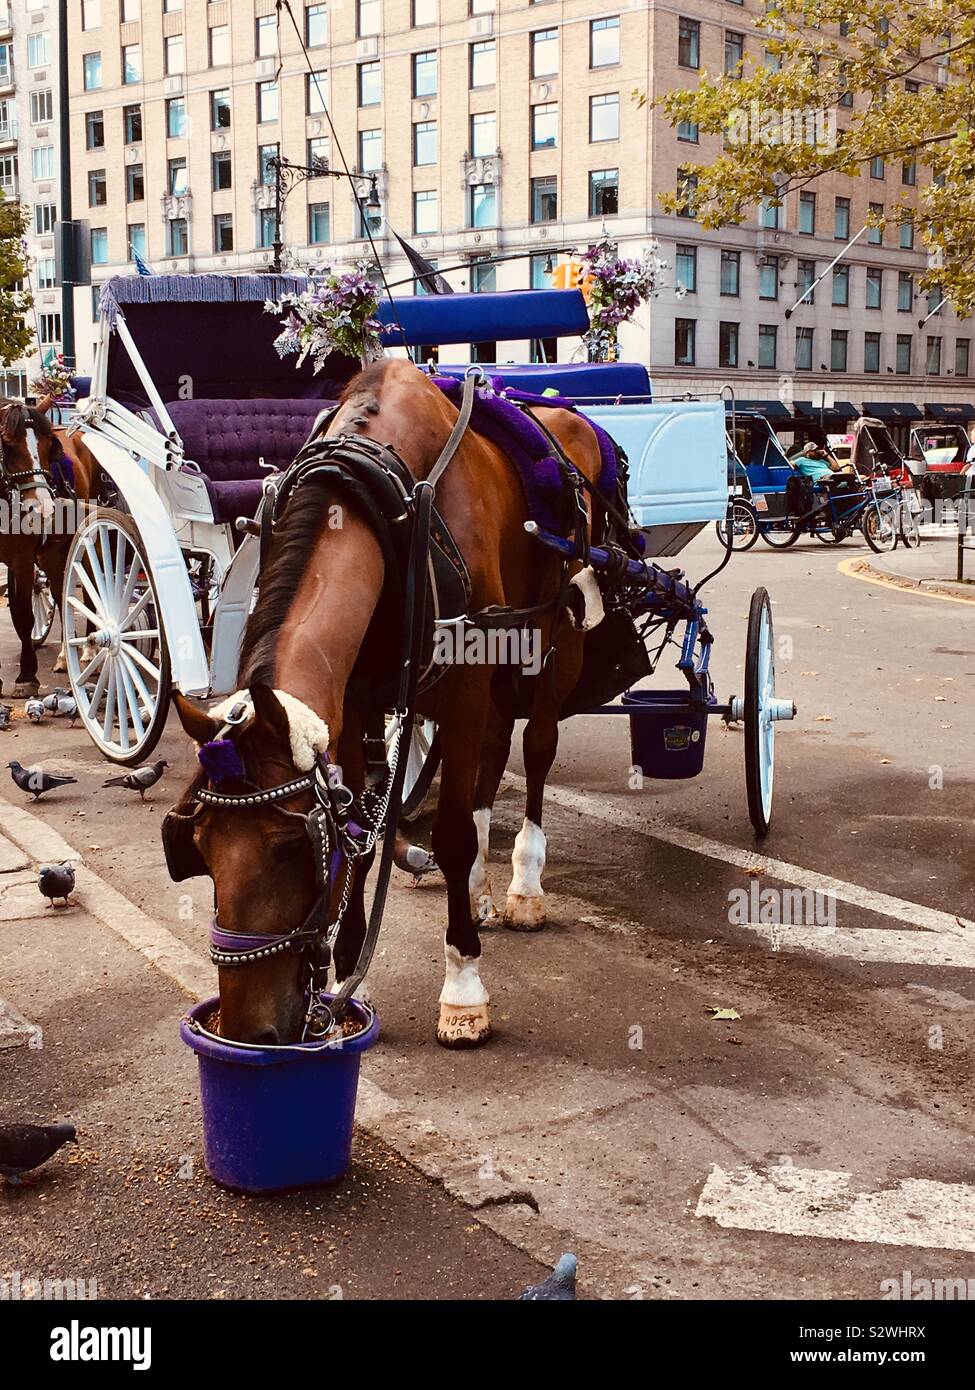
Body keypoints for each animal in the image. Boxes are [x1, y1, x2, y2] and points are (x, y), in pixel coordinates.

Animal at [171, 364, 603, 1045]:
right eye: (201, 844)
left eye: (289, 847)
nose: (246, 1029)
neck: (380, 496)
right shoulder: (352, 704)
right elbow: (361, 835)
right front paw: (350, 974)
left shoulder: (464, 687)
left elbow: (451, 834)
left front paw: (462, 986)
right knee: (496, 744)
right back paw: (477, 890)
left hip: (554, 637)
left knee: (536, 746)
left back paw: (524, 884)